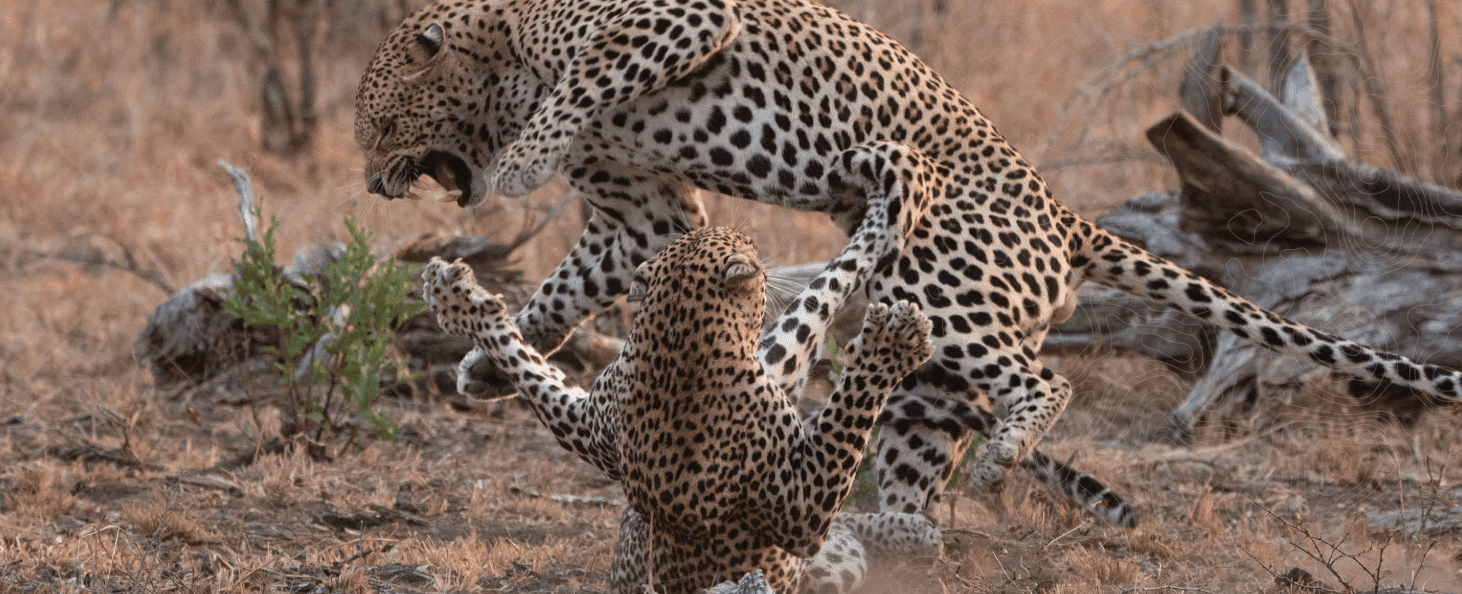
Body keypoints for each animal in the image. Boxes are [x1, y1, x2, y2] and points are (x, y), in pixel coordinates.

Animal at [356, 0, 1462, 547]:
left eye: (373, 123)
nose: (368, 183)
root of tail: (1066, 216)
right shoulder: (639, 214)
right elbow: (569, 281)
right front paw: (483, 360)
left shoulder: (680, 22)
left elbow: (577, 86)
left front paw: (516, 166)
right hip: (924, 363)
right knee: (910, 458)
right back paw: (892, 532)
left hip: (950, 292)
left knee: (1041, 382)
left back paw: (1006, 452)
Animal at [423, 223, 935, 594]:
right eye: (749, 248)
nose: (762, 258)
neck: (678, 334)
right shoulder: (799, 509)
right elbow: (850, 410)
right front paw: (886, 351)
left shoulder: (589, 423)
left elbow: (528, 365)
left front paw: (471, 313)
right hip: (820, 556)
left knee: (815, 300)